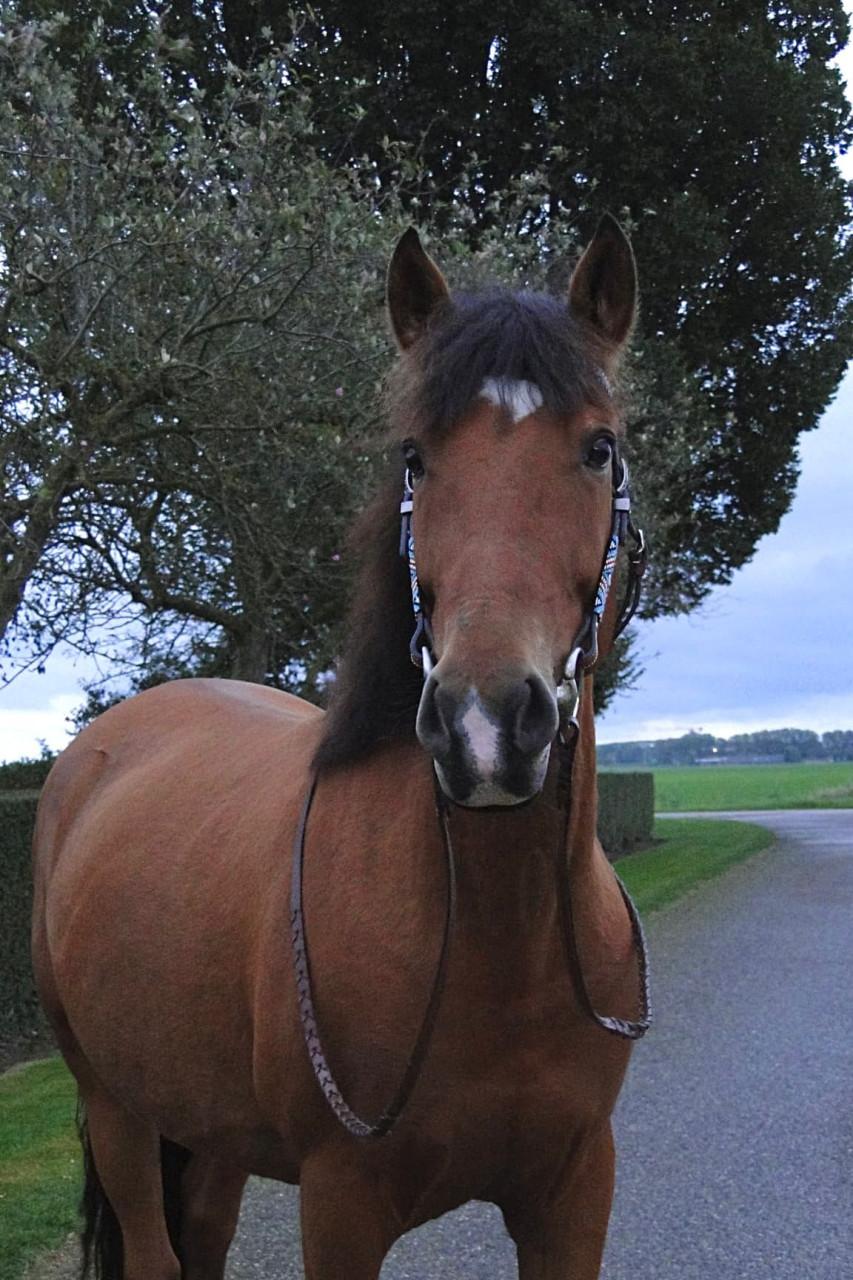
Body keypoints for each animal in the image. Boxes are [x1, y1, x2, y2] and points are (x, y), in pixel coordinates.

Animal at [32, 213, 650, 1280]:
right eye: (415, 456)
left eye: (597, 448)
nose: (485, 724)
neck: (498, 941)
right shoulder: (341, 1204)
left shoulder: (574, 1193)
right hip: (116, 1108)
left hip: (211, 1137)